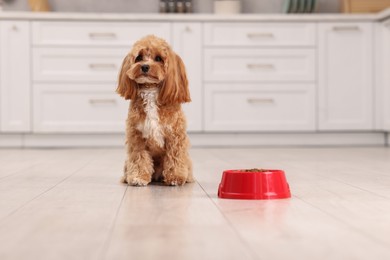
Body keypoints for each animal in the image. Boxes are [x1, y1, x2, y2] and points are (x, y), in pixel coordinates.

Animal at [116, 35, 194, 185]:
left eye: (158, 58)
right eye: (139, 57)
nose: (145, 66)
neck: (150, 90)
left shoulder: (175, 136)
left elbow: (175, 157)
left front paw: (175, 177)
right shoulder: (137, 136)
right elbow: (139, 158)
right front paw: (138, 177)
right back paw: (126, 177)